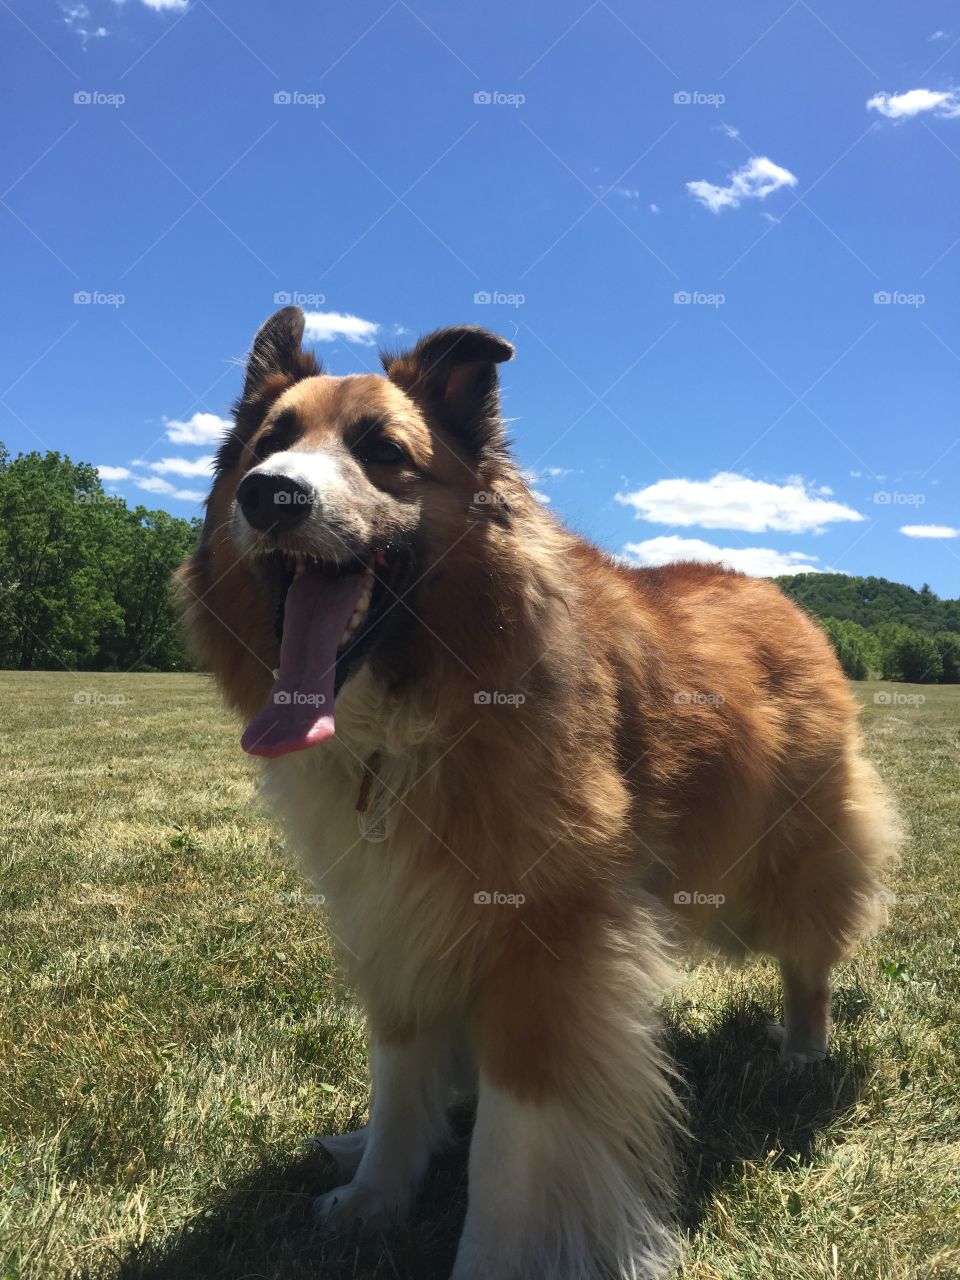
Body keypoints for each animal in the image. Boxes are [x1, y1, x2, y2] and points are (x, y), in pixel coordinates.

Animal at [179, 307, 901, 1280]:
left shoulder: (547, 942)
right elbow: (399, 1073)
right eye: (267, 444)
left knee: (808, 955)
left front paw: (492, 1255)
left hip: (790, 856)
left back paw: (800, 1054)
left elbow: (514, 1140)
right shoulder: (391, 913)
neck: (416, 716)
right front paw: (375, 1194)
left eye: (386, 452)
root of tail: (777, 592)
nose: (269, 496)